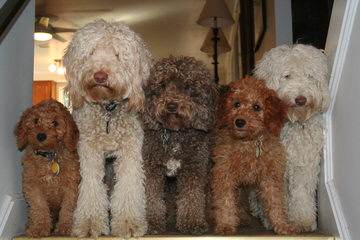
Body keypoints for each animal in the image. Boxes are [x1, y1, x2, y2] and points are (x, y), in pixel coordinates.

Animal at [62, 19, 153, 238]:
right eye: (91, 52)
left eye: (118, 55)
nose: (100, 76)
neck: (107, 111)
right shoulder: (89, 151)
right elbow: (92, 187)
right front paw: (89, 223)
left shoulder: (130, 151)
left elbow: (128, 186)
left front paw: (128, 224)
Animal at [252, 44, 330, 232]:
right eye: (287, 75)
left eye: (310, 76)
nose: (301, 99)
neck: (291, 121)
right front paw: (273, 219)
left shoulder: (303, 163)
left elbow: (301, 192)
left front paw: (302, 220)